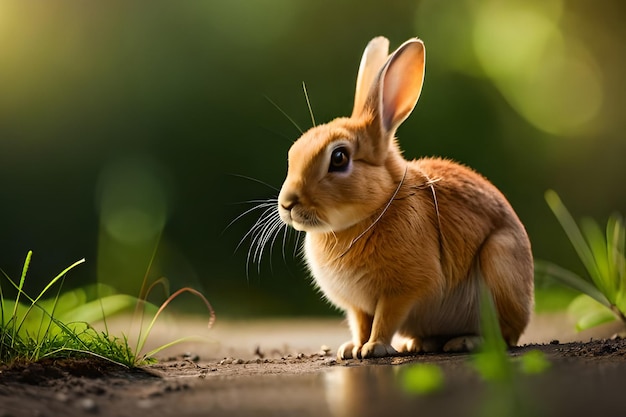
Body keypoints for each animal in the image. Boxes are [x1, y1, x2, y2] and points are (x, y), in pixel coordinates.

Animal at [276, 35, 528, 358]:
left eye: (339, 158)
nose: (287, 204)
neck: (376, 209)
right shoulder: (358, 306)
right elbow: (361, 323)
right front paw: (352, 348)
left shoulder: (402, 291)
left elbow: (385, 318)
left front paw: (374, 349)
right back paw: (416, 344)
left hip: (499, 264)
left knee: (502, 334)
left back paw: (465, 341)